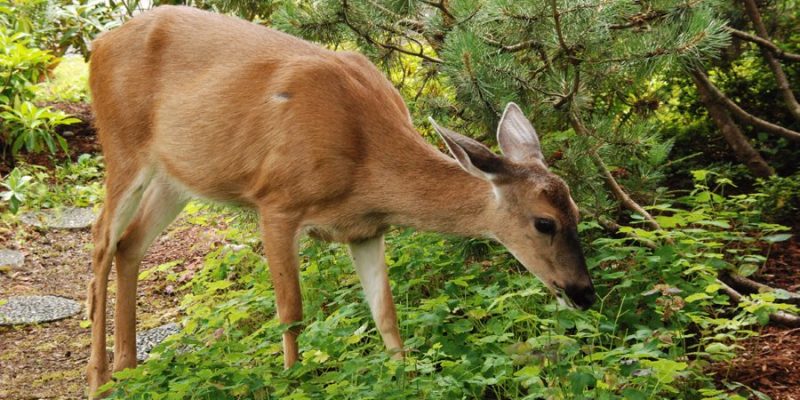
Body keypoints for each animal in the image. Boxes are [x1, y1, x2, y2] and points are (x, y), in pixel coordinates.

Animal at [87, 5, 596, 396]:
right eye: (544, 223)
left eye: (577, 212)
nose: (585, 294)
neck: (365, 161)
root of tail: (99, 44)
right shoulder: (276, 201)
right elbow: (292, 313)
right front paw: (293, 381)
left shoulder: (366, 229)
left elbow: (386, 314)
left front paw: (404, 377)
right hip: (122, 146)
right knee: (101, 240)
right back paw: (98, 380)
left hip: (175, 178)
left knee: (131, 243)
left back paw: (129, 370)